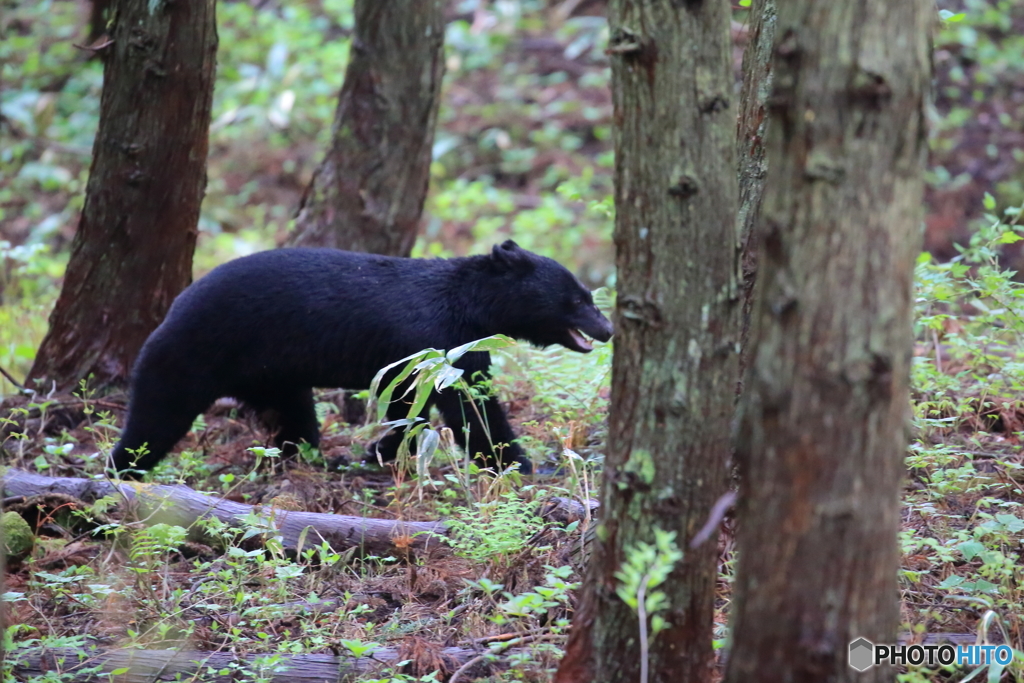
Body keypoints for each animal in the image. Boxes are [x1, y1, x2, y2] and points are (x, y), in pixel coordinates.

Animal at [110, 242, 614, 479]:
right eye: (576, 300)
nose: (607, 329)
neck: (472, 307)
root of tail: (173, 308)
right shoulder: (436, 339)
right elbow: (470, 406)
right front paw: (523, 465)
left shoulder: (438, 351)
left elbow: (408, 405)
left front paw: (380, 451)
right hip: (193, 353)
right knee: (155, 416)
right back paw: (120, 472)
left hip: (272, 375)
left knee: (294, 418)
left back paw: (307, 456)